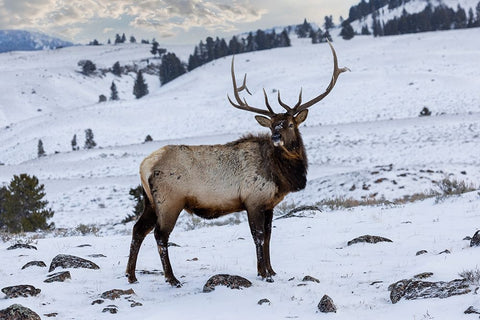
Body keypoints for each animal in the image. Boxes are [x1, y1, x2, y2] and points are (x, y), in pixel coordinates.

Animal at [125, 41, 346, 286]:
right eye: (272, 125)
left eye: (289, 124)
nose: (276, 137)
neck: (280, 175)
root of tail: (145, 166)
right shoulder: (253, 200)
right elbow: (258, 237)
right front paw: (263, 273)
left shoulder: (268, 204)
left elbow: (269, 236)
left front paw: (272, 270)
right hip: (170, 200)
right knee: (160, 235)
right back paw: (172, 278)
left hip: (150, 201)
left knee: (138, 230)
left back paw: (131, 276)